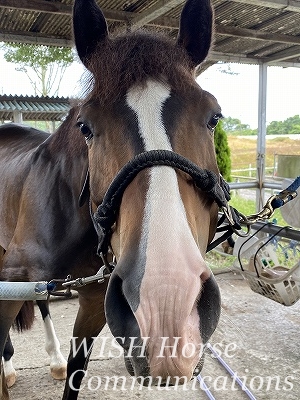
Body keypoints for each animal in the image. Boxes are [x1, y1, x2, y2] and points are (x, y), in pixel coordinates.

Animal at [0, 0, 224, 396]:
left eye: (214, 117)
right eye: (85, 127)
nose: (166, 305)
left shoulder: (94, 301)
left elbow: (75, 370)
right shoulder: (12, 280)